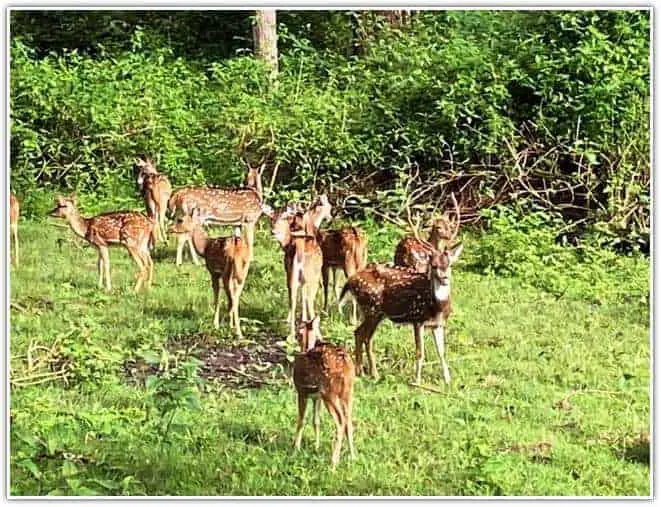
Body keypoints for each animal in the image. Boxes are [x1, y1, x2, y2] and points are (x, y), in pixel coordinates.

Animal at [169, 206, 251, 338]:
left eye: (180, 220)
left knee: (231, 297)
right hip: (243, 269)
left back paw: (236, 331)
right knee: (236, 296)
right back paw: (235, 328)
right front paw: (227, 324)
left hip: (227, 270)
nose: (170, 229)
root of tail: (237, 246)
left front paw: (215, 324)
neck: (204, 247)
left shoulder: (213, 272)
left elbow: (216, 296)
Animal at [294, 318, 356, 468]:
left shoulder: (301, 390)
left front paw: (295, 450)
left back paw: (333, 462)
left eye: (298, 332)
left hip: (330, 392)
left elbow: (301, 420)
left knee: (340, 421)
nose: (294, 335)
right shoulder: (316, 397)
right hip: (347, 392)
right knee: (349, 420)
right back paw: (352, 457)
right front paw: (316, 447)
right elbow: (316, 421)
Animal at [338, 245, 462, 384]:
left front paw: (447, 380)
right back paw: (371, 373)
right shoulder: (417, 319)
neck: (437, 307)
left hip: (376, 313)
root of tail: (350, 281)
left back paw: (363, 371)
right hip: (372, 309)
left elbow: (441, 352)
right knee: (363, 335)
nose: (445, 278)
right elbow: (420, 352)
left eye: (449, 264)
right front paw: (417, 381)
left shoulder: (438, 324)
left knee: (360, 334)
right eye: (433, 265)